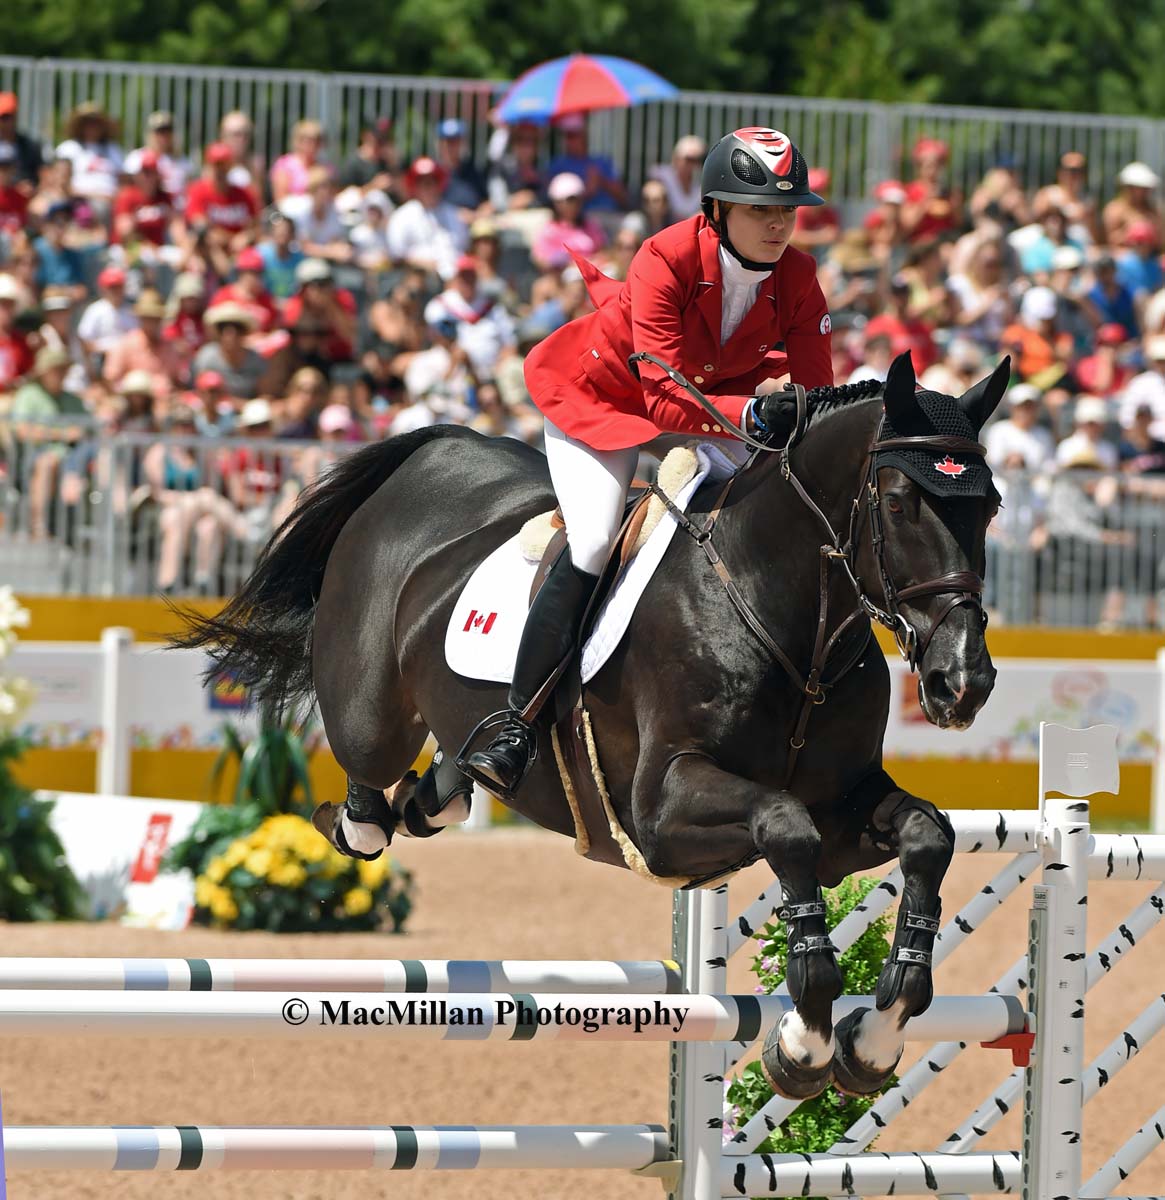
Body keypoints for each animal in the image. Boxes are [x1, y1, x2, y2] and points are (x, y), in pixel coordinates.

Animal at [177, 350, 1007, 1099]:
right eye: (897, 501)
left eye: (990, 506)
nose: (961, 683)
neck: (788, 615)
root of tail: (433, 454)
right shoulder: (660, 812)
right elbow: (785, 827)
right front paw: (803, 1042)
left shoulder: (842, 812)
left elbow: (924, 835)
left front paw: (873, 1038)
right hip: (370, 716)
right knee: (366, 798)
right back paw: (392, 803)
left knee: (422, 790)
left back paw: (453, 784)